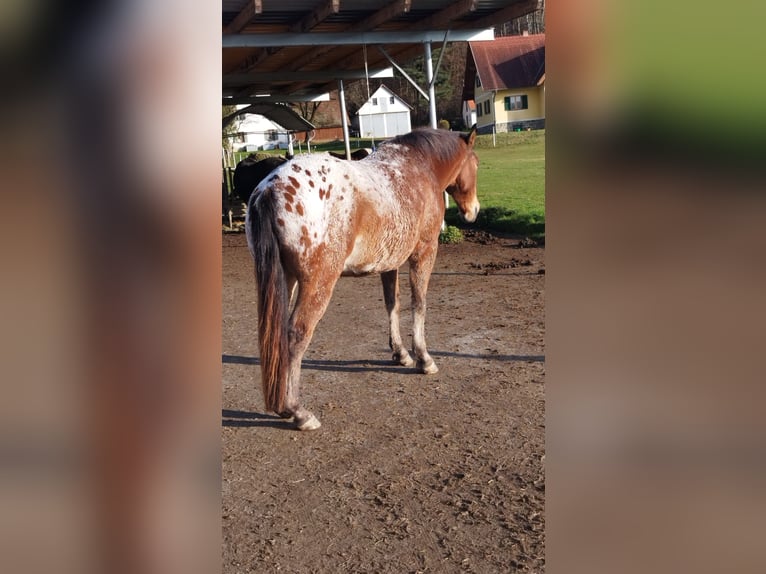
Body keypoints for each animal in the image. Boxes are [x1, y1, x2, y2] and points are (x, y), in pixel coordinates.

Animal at [246, 126, 480, 430]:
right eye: (476, 164)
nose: (473, 211)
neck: (421, 166)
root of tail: (270, 189)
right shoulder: (424, 252)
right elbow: (419, 303)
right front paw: (423, 358)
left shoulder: (390, 262)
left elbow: (393, 305)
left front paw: (400, 353)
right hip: (318, 284)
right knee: (296, 334)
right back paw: (297, 411)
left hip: (286, 280)